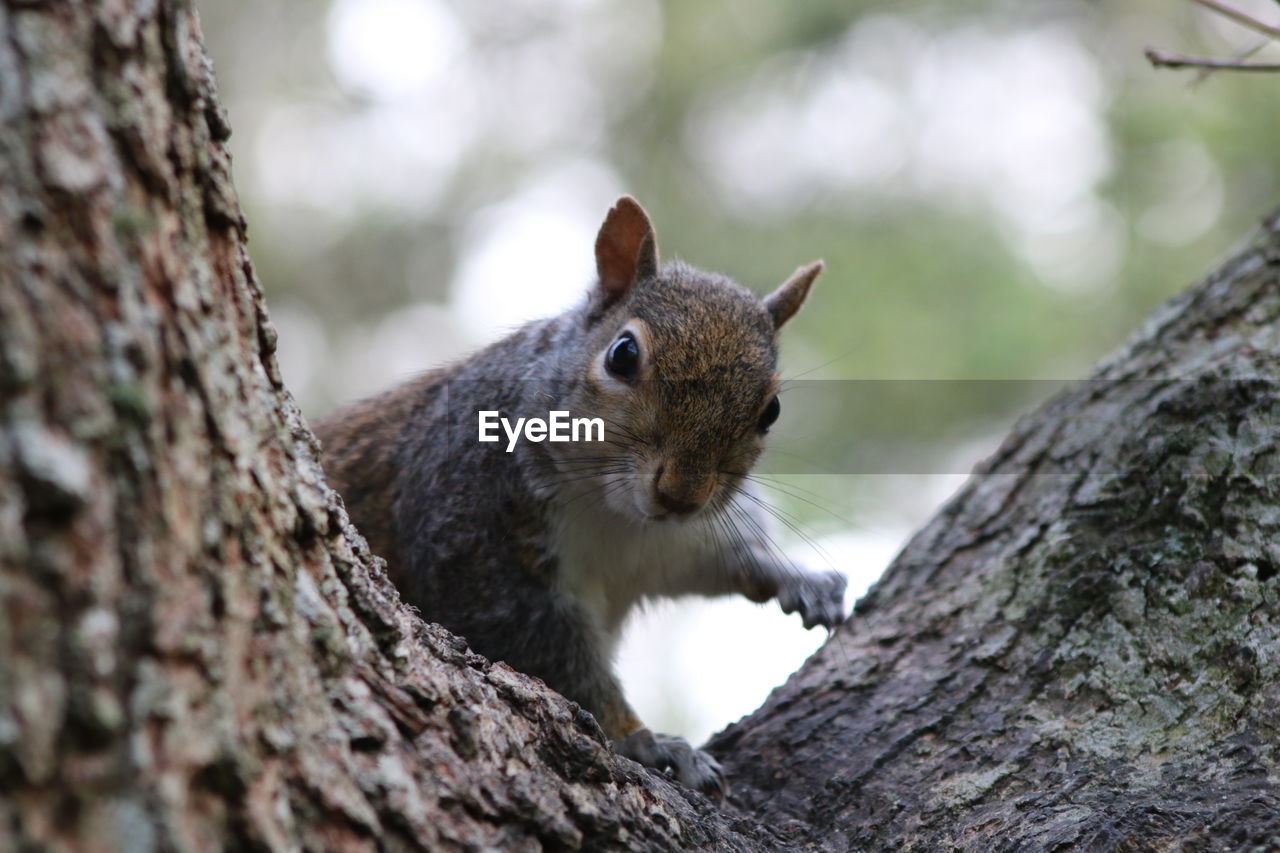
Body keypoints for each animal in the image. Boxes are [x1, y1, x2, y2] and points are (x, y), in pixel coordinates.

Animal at [311, 195, 849, 794]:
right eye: (622, 355)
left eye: (771, 409)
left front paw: (796, 577)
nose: (681, 495)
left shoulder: (681, 540)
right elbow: (553, 658)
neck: (620, 518)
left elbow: (716, 562)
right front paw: (646, 739)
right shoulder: (472, 537)